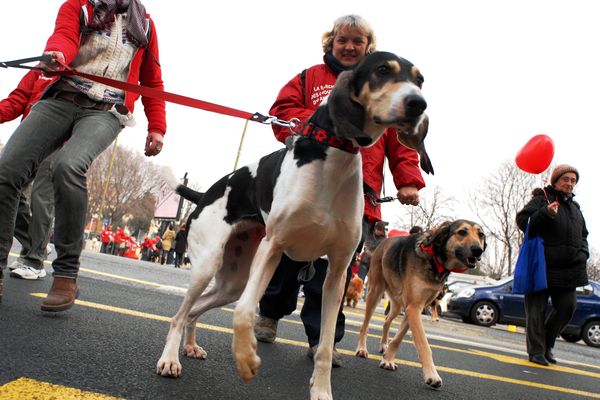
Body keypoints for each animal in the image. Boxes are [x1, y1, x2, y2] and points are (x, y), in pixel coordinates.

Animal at [354, 220, 486, 390]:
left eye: (481, 235)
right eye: (462, 232)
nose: (478, 250)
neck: (435, 260)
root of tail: (384, 241)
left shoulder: (414, 308)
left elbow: (398, 339)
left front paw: (388, 359)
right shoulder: (413, 308)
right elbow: (424, 345)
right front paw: (432, 375)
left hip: (397, 304)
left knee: (386, 321)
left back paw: (384, 345)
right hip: (375, 293)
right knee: (365, 325)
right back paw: (362, 349)